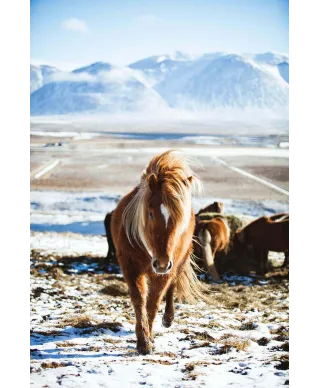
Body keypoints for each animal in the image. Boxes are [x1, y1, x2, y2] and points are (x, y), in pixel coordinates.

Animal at [110, 149, 205, 354]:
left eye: (179, 218)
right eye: (151, 213)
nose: (161, 263)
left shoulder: (164, 272)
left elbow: (153, 303)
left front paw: (149, 338)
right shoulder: (130, 267)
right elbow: (139, 300)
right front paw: (143, 341)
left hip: (178, 263)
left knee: (172, 285)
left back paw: (168, 318)